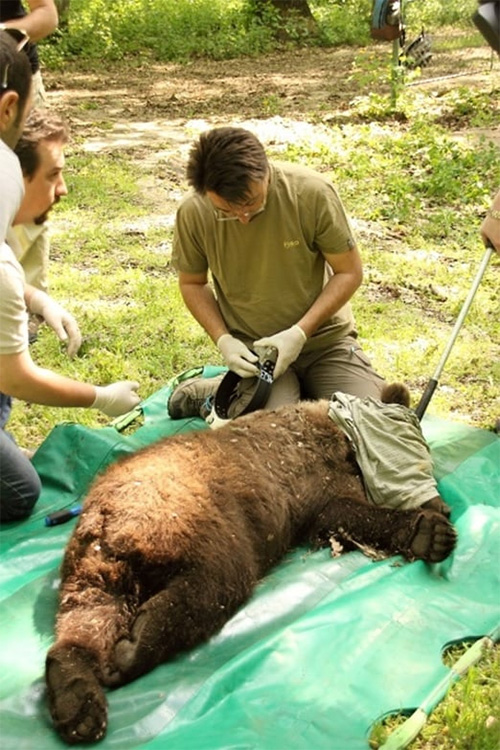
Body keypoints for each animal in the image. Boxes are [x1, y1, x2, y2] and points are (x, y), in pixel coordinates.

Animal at [45, 388, 456, 748]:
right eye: (418, 456)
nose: (444, 506)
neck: (344, 435)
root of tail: (105, 521)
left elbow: (337, 516)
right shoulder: (317, 470)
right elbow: (343, 511)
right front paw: (430, 533)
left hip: (92, 568)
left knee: (87, 619)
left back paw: (77, 702)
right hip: (190, 517)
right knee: (215, 583)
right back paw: (136, 643)